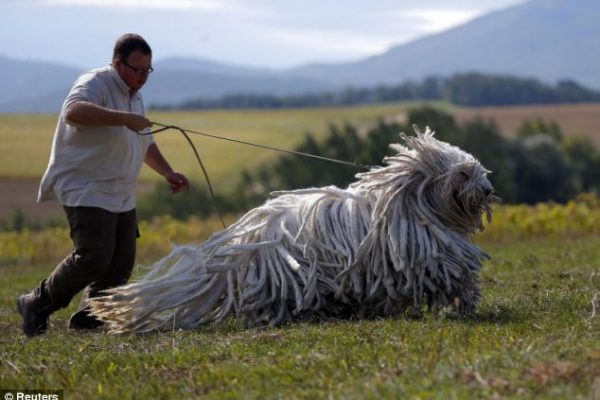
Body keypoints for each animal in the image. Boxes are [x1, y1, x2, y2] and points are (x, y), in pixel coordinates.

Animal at [88, 126, 492, 332]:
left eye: (478, 170)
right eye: (462, 173)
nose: (488, 190)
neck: (411, 201)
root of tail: (241, 240)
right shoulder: (426, 255)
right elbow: (453, 274)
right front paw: (467, 300)